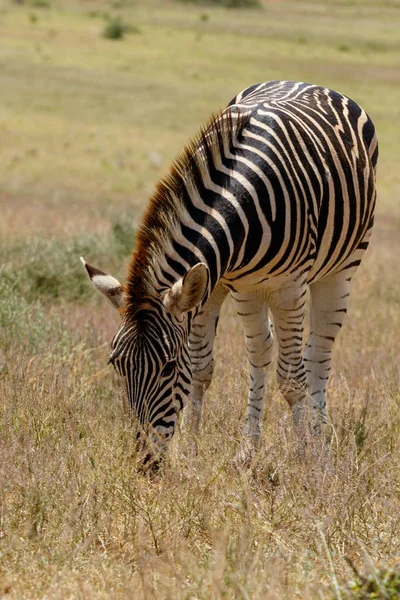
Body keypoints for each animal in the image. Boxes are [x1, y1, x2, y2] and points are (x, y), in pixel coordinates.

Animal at [81, 79, 378, 464]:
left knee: (317, 354)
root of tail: (305, 82)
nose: (145, 461)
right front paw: (192, 450)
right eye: (116, 364)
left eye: (168, 368)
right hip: (254, 289)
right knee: (262, 351)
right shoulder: (222, 283)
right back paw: (250, 448)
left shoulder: (289, 287)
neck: (242, 194)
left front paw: (304, 459)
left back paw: (321, 443)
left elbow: (291, 378)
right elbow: (203, 367)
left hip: (340, 269)